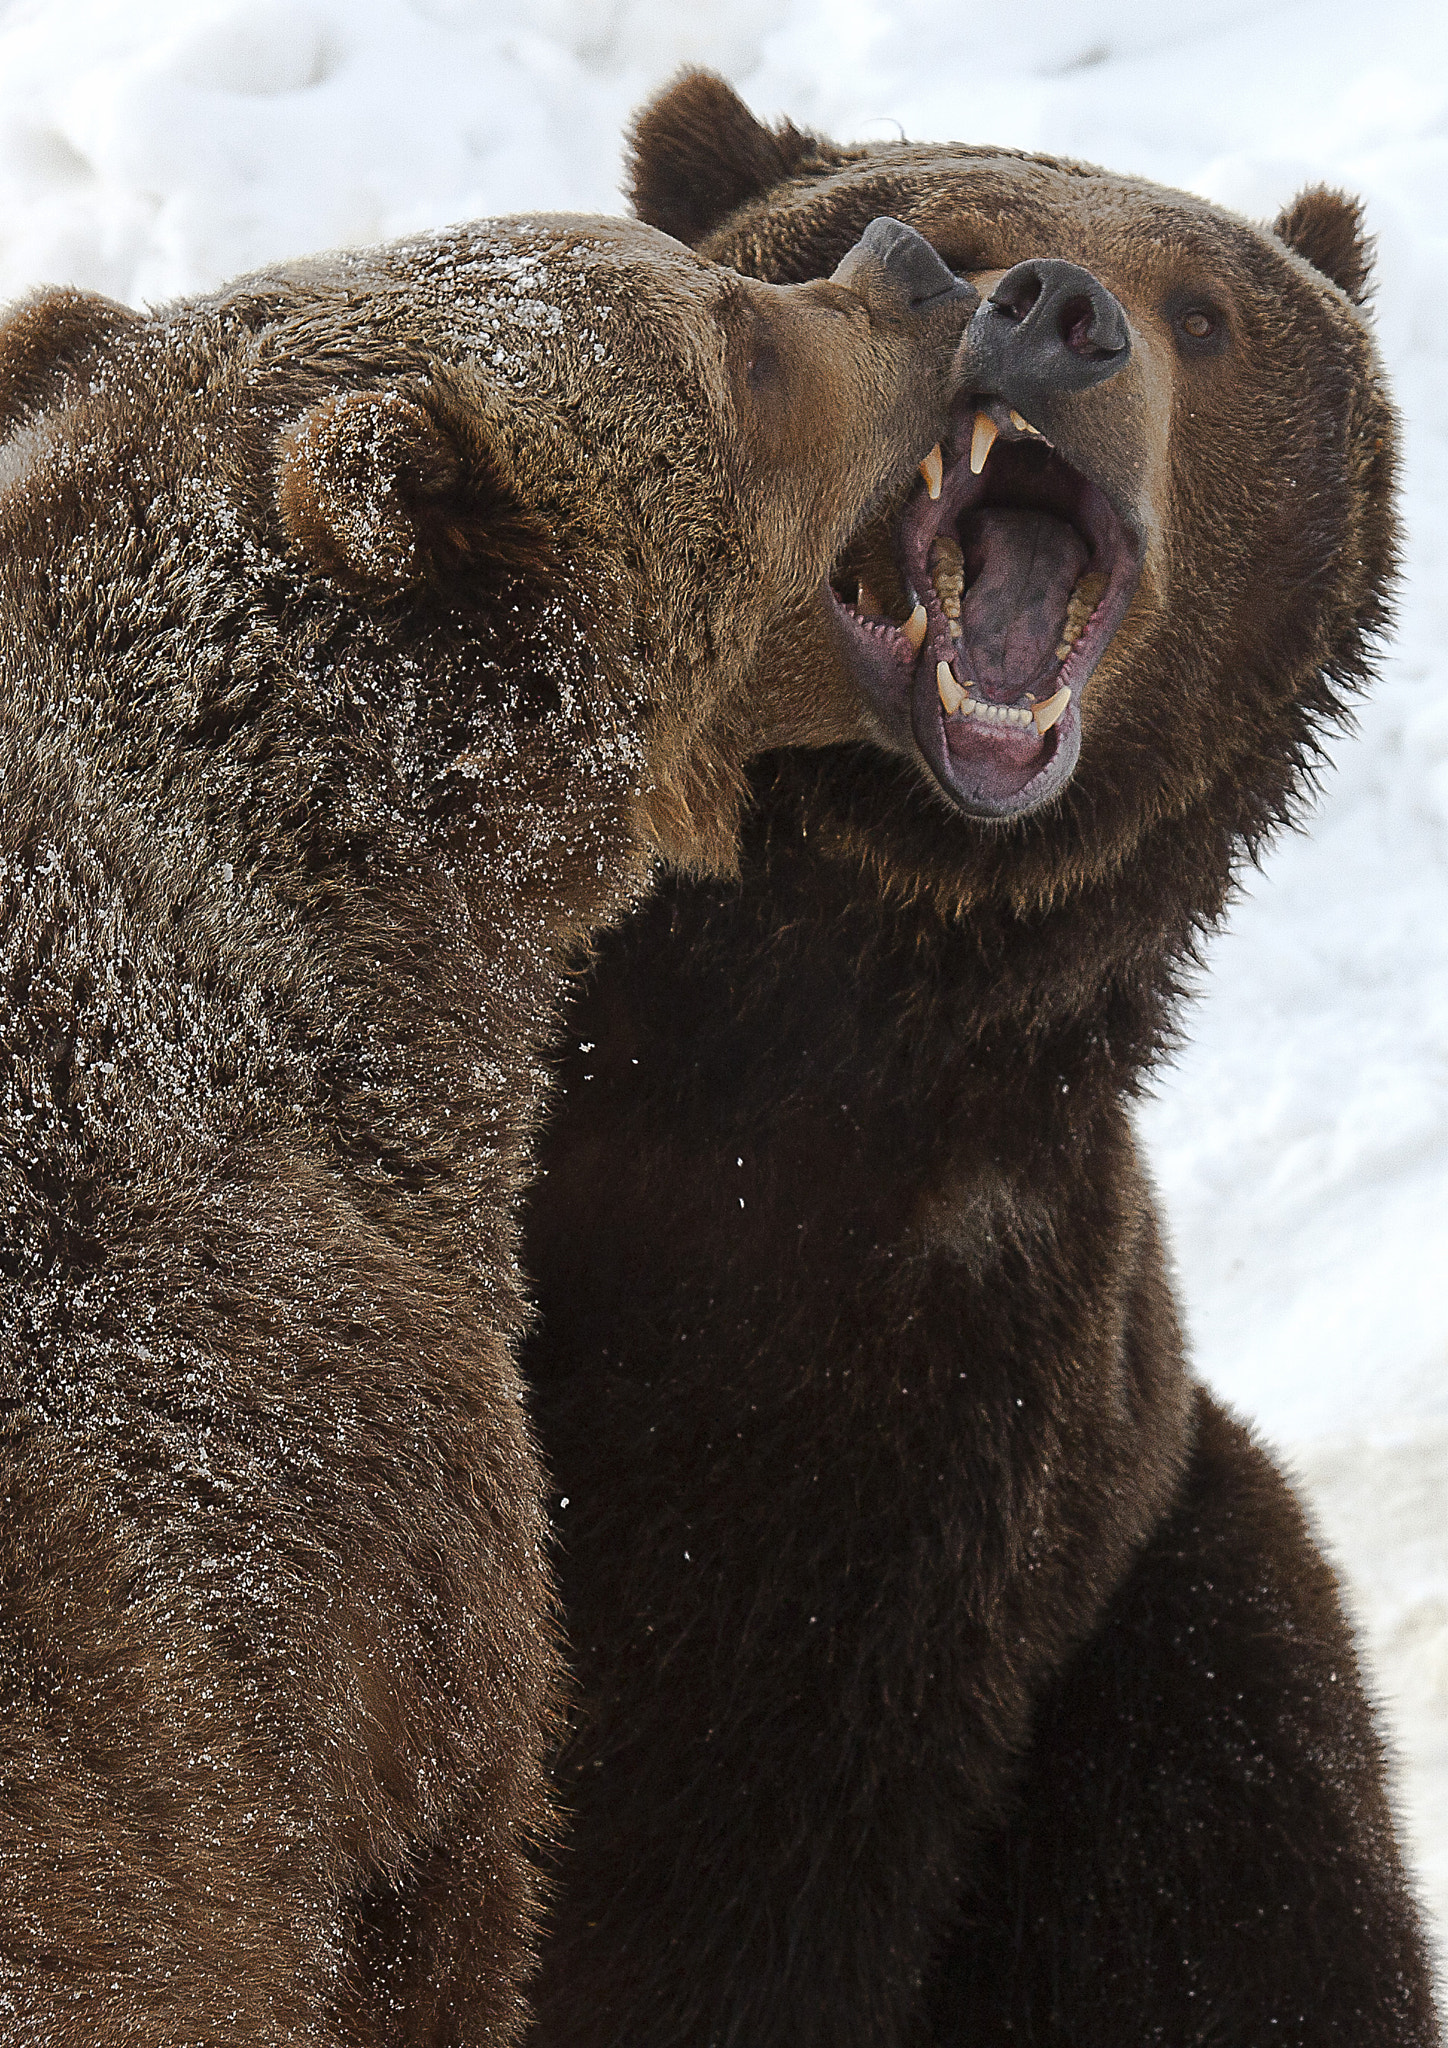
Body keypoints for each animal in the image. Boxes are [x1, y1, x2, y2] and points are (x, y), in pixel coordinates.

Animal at [518, 72, 1441, 2048]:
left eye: (1204, 313)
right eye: (929, 234)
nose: (1056, 310)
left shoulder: (939, 1407)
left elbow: (735, 1857)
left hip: (1162, 1639)